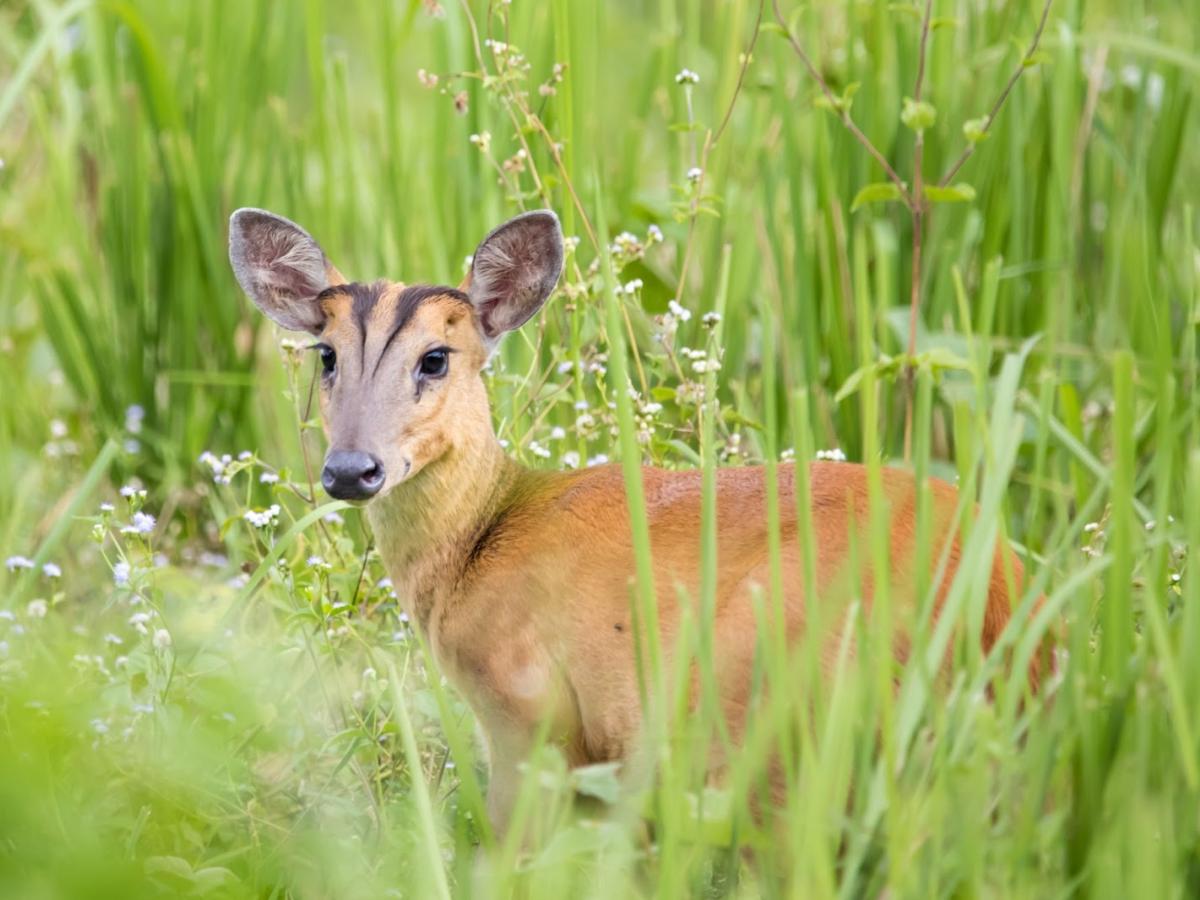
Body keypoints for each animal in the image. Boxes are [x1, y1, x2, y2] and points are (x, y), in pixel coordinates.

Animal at [229, 207, 1046, 835]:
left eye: (436, 358)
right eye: (325, 354)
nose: (350, 471)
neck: (483, 538)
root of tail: (997, 601)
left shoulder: (529, 711)